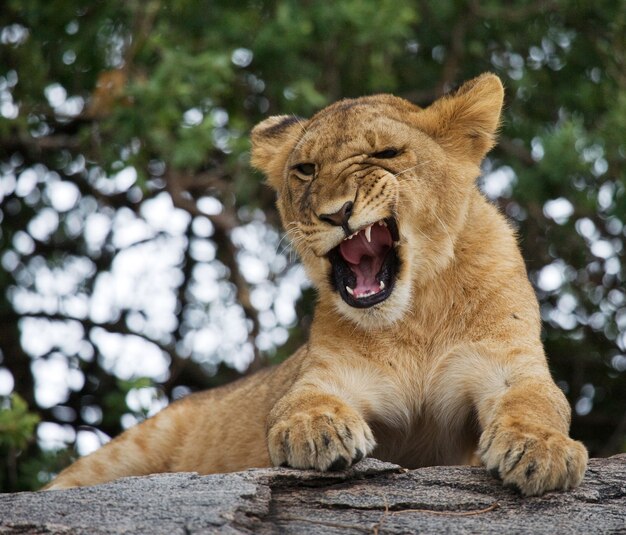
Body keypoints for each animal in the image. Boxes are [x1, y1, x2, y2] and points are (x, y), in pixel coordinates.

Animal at [47, 73, 584, 496]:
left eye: (386, 152)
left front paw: (541, 450)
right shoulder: (327, 373)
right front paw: (317, 431)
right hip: (131, 448)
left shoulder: (509, 363)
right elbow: (302, 401)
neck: (416, 314)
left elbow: (538, 401)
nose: (336, 213)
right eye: (305, 170)